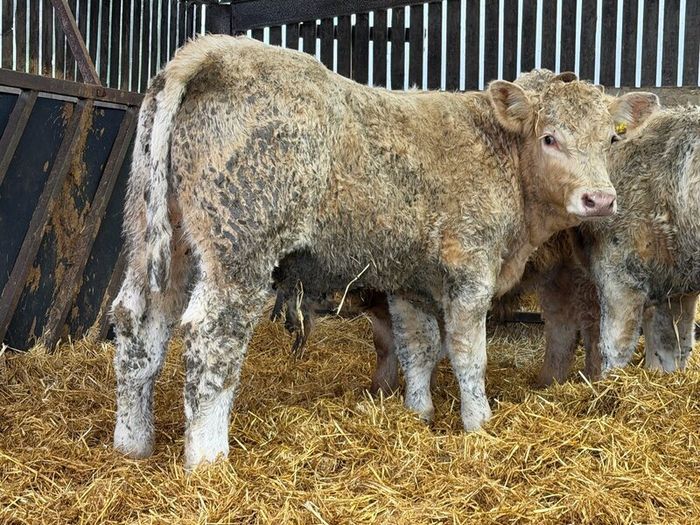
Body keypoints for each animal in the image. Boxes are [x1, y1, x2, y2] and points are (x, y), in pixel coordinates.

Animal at [110, 35, 657, 468]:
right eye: (549, 137)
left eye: (609, 139)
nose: (600, 199)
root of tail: (211, 48)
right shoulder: (470, 270)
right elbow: (468, 354)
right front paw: (478, 423)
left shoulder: (411, 281)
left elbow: (419, 348)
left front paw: (419, 413)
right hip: (239, 248)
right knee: (212, 337)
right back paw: (207, 459)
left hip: (158, 242)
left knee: (138, 326)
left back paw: (132, 445)